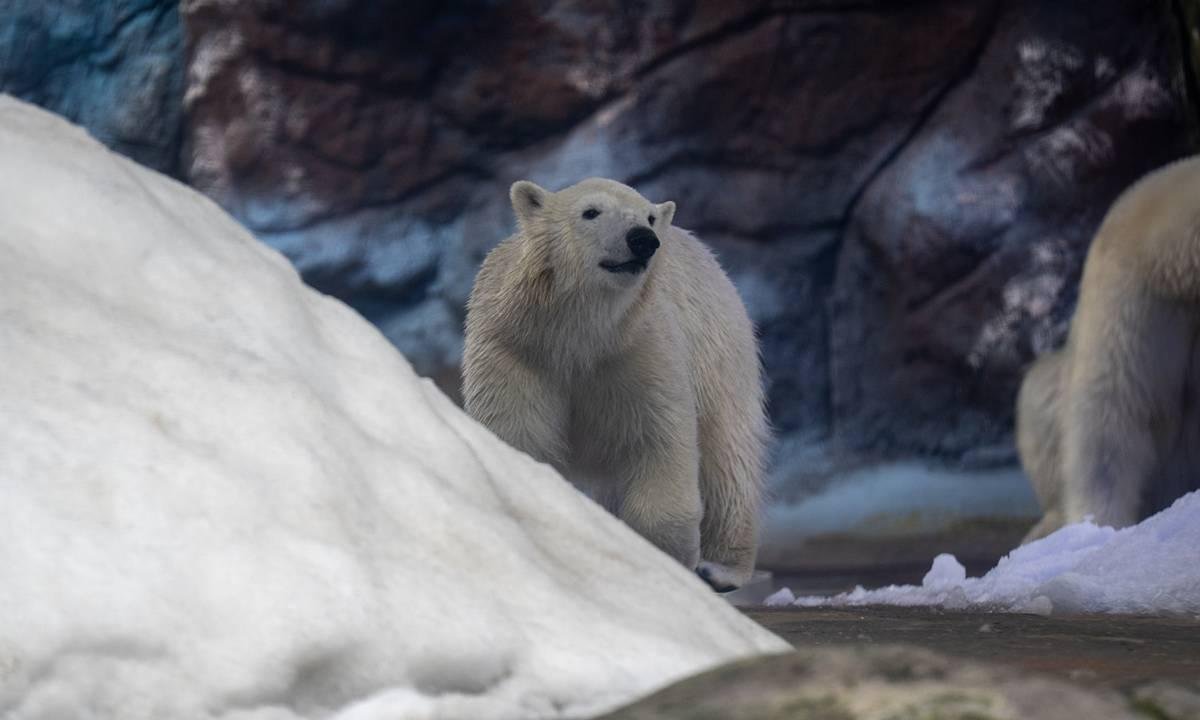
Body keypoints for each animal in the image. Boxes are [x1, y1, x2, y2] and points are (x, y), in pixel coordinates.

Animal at [462, 177, 767, 591]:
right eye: (591, 212)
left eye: (649, 216)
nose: (643, 239)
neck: (575, 334)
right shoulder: (514, 349)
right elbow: (516, 436)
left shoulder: (642, 350)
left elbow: (658, 441)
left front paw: (665, 564)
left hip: (718, 350)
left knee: (727, 453)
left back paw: (721, 569)